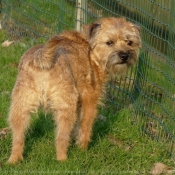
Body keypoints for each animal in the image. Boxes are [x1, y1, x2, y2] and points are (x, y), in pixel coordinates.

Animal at [7, 17, 141, 163]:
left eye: (129, 42)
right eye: (109, 42)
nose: (124, 55)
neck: (91, 51)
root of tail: (42, 60)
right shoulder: (89, 101)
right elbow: (85, 126)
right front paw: (82, 149)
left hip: (20, 106)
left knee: (18, 137)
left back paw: (14, 160)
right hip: (66, 107)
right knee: (61, 137)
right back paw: (63, 160)